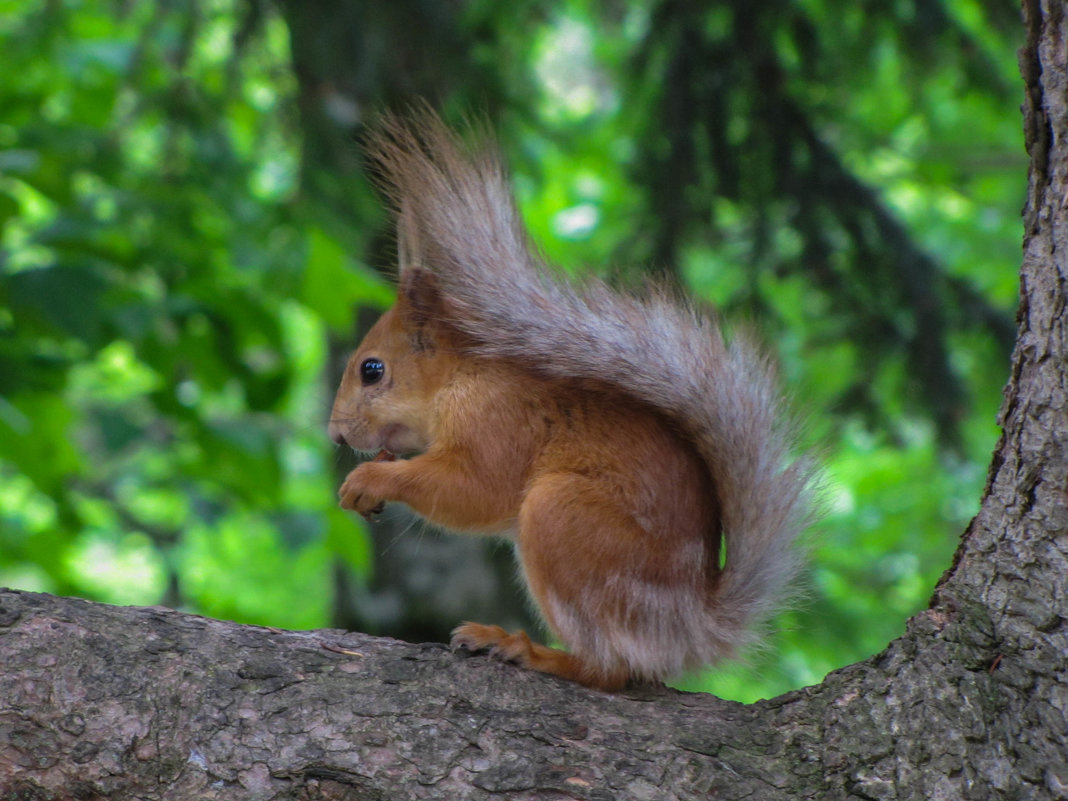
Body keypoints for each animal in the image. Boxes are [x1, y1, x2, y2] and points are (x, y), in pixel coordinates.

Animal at [324, 113, 807, 696]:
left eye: (372, 370)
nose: (336, 435)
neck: (460, 378)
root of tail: (689, 625)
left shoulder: (497, 420)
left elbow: (474, 491)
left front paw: (370, 480)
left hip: (563, 516)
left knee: (610, 669)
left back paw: (526, 650)